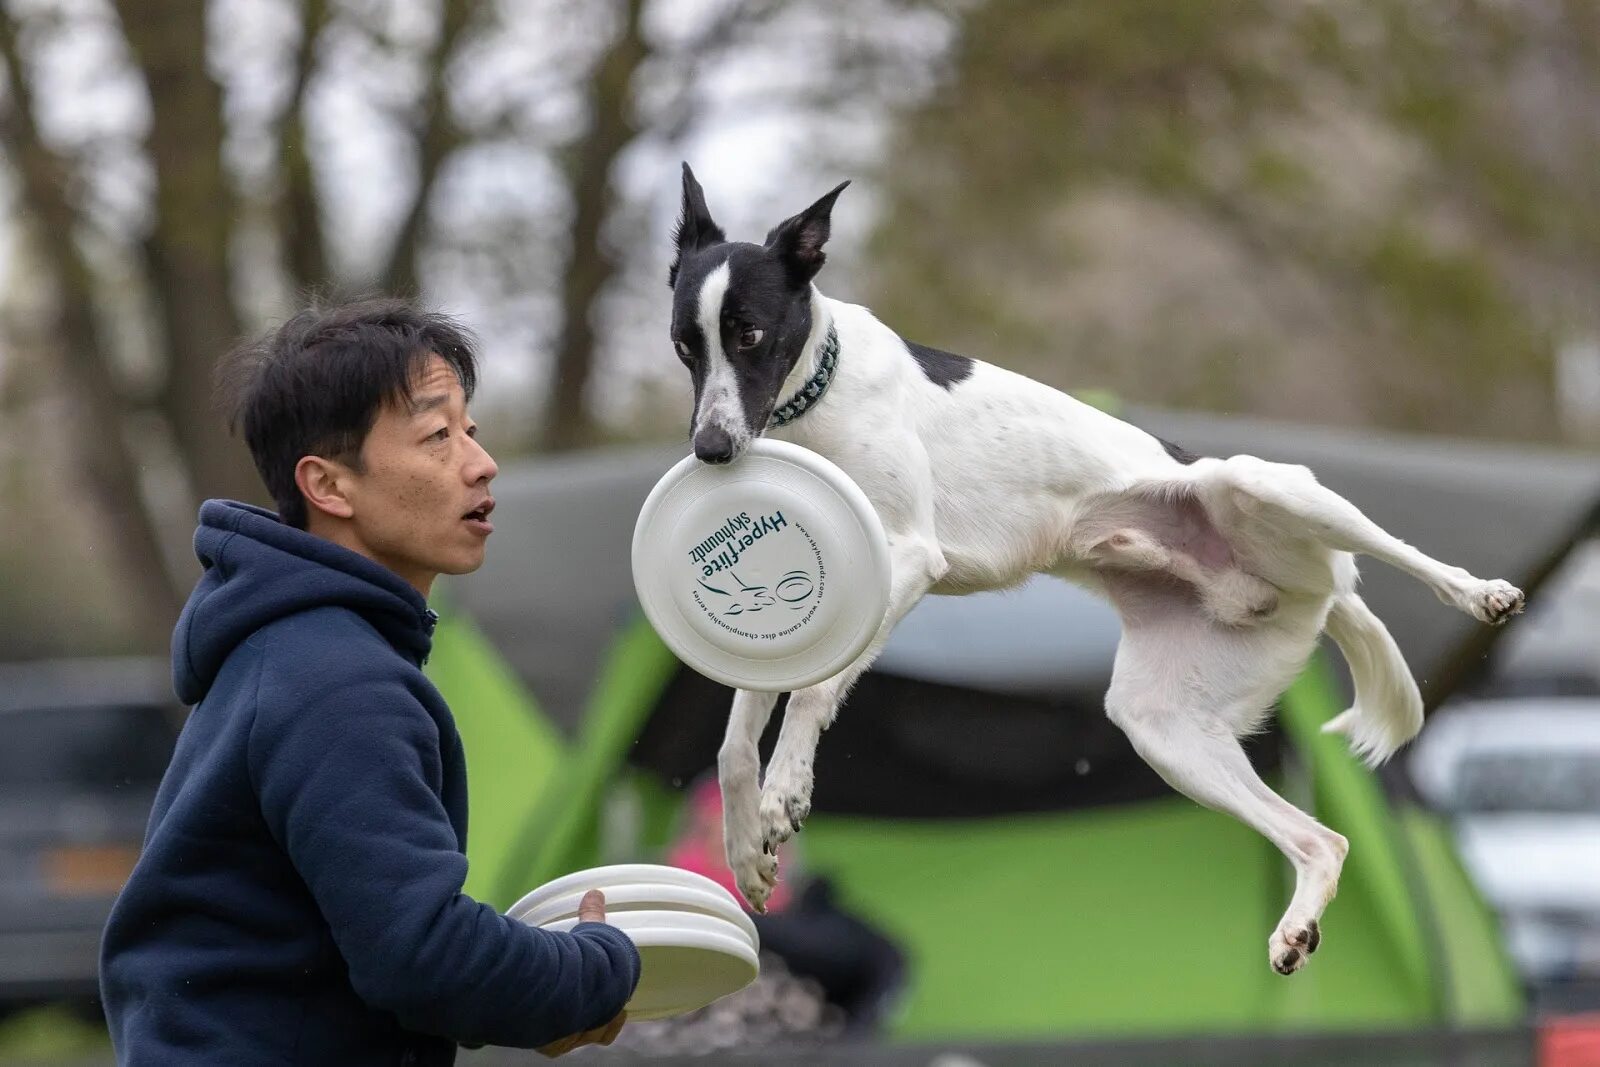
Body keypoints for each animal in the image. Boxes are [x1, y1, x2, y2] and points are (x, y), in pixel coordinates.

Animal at [662, 164, 1523, 979]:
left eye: (749, 333)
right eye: (684, 347)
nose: (711, 451)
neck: (820, 392)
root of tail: (1306, 592)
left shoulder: (907, 556)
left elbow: (809, 698)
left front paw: (786, 793)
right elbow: (734, 748)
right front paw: (746, 851)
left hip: (1262, 487)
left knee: (1399, 555)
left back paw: (1481, 592)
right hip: (1164, 726)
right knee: (1324, 841)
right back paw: (1295, 927)